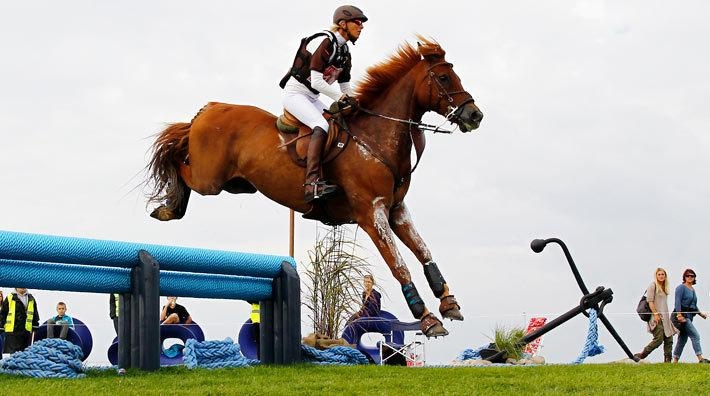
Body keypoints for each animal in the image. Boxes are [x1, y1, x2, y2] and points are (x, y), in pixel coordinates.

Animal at [147, 37, 486, 338]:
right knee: (178, 162)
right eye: (443, 77)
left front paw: (448, 302)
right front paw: (428, 319)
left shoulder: (395, 210)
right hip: (208, 180)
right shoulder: (371, 214)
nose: (475, 115)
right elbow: (399, 264)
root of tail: (209, 109)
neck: (375, 138)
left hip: (231, 183)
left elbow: (424, 250)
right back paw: (167, 207)